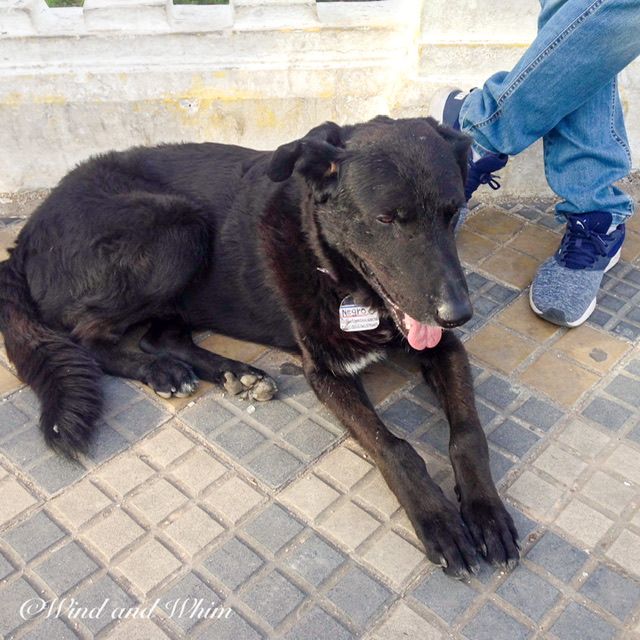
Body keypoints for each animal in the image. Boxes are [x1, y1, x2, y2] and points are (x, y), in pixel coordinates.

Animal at [0, 116, 520, 580]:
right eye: (387, 218)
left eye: (452, 212)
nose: (459, 314)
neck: (335, 270)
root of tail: (25, 234)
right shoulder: (326, 373)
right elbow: (394, 447)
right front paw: (437, 519)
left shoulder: (445, 348)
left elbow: (468, 434)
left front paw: (486, 512)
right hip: (178, 227)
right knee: (87, 336)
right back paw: (162, 372)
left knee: (159, 335)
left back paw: (235, 372)